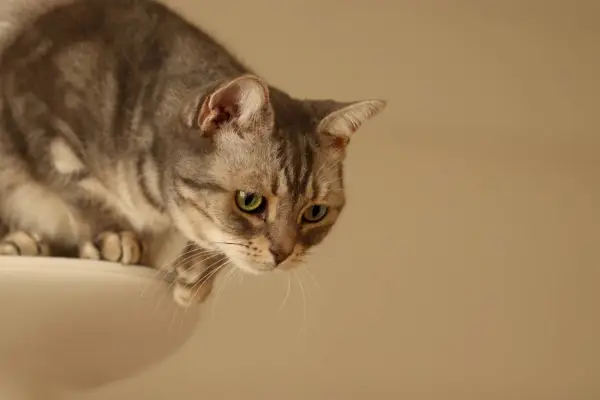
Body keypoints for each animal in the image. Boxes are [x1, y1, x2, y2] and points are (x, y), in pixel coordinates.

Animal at [0, 0, 386, 306]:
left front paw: (196, 270)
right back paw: (20, 244)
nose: (283, 254)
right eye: (249, 201)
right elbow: (76, 182)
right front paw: (113, 235)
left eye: (315, 212)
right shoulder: (33, 107)